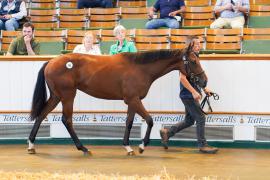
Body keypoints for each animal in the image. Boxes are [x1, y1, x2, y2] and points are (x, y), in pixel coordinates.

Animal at [28, 46, 207, 155]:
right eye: (193, 61)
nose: (204, 81)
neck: (140, 68)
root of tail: (51, 61)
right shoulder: (134, 100)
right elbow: (149, 120)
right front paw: (142, 146)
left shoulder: (132, 101)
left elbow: (129, 122)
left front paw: (128, 147)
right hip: (67, 96)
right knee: (67, 120)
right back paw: (83, 148)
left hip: (56, 96)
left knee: (42, 115)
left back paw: (31, 145)